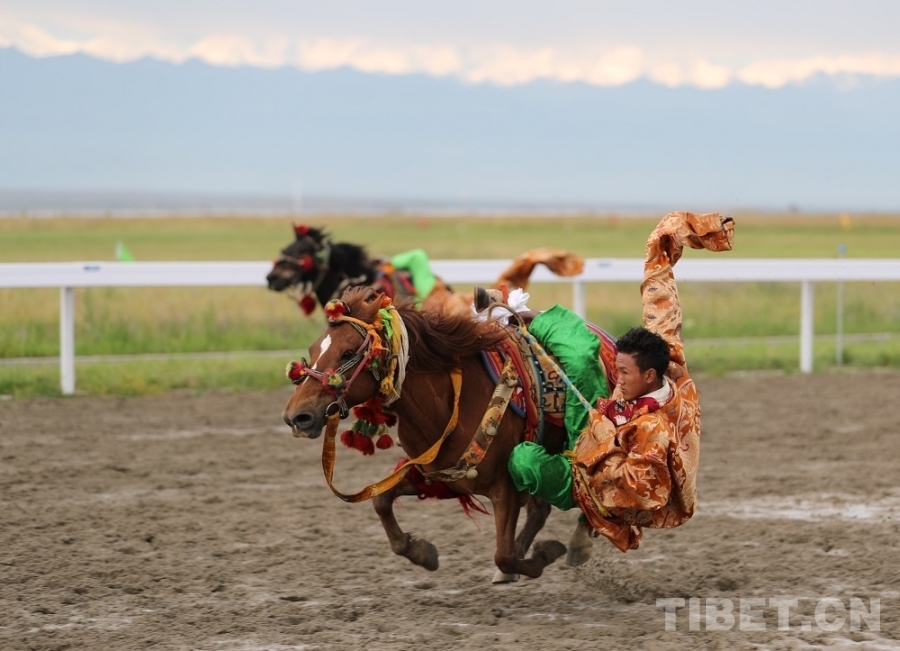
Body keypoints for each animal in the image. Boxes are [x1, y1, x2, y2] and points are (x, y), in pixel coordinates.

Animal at [281, 285, 617, 582]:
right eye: (313, 350)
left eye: (347, 352)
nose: (297, 416)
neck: (447, 404)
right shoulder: (437, 476)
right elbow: (382, 503)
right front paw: (421, 551)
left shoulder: (504, 487)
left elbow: (504, 555)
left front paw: (545, 554)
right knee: (540, 509)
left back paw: (578, 543)